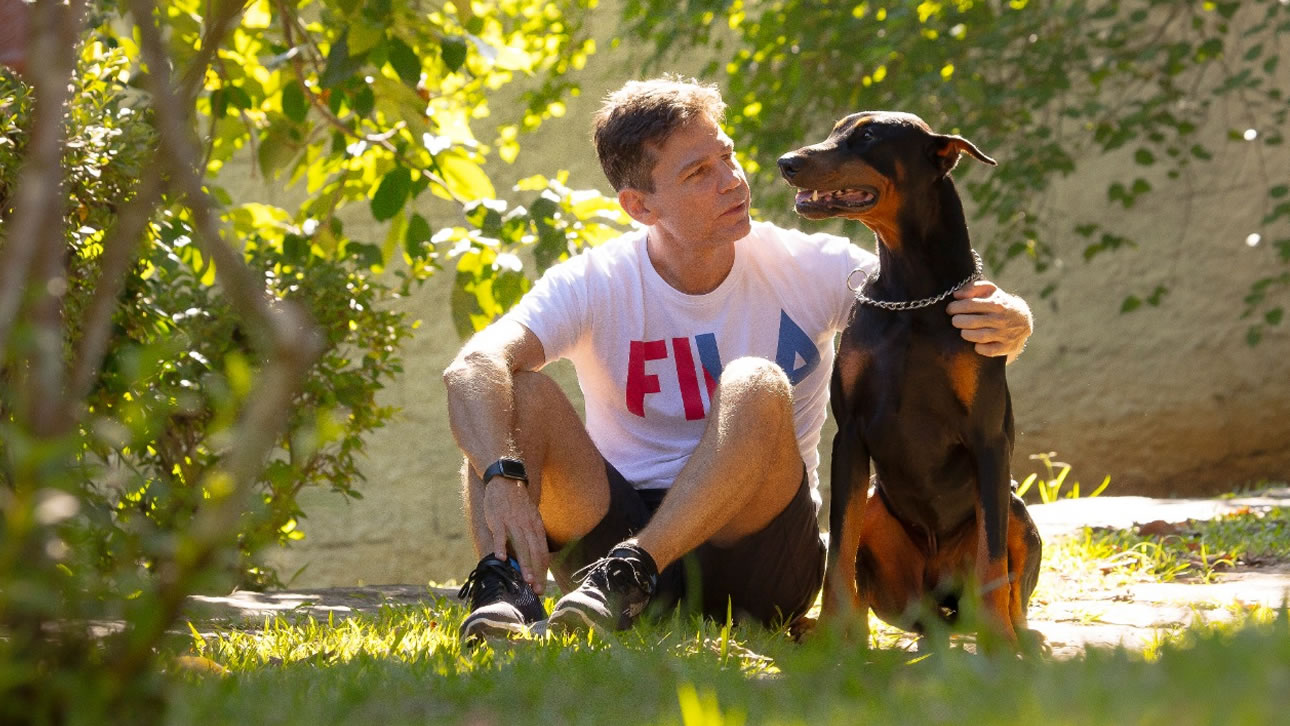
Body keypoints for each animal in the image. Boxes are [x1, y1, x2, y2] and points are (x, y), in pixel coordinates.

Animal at [774, 112, 1037, 647]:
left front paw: (998, 644)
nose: (786, 162)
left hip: (1018, 508)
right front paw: (830, 638)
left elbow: (992, 559)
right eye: (836, 130)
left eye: (869, 136)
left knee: (1008, 580)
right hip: (880, 512)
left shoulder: (988, 438)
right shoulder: (851, 433)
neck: (912, 293)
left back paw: (1021, 637)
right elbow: (838, 552)